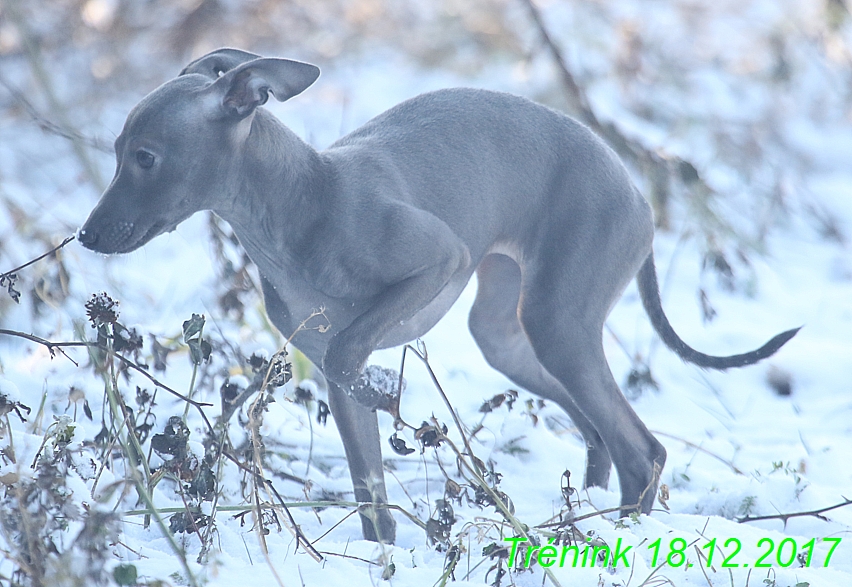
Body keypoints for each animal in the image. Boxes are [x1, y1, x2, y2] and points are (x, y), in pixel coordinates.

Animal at [80, 48, 800, 544]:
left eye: (144, 157)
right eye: (116, 150)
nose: (86, 235)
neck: (301, 200)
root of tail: (637, 192)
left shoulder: (437, 261)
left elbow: (350, 350)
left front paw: (387, 394)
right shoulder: (334, 375)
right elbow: (369, 489)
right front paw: (384, 557)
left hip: (557, 322)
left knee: (639, 447)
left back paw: (621, 534)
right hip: (507, 334)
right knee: (596, 428)